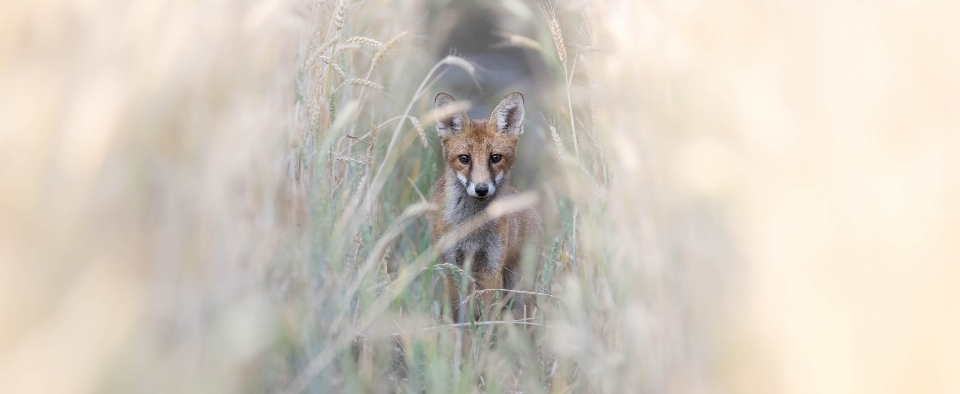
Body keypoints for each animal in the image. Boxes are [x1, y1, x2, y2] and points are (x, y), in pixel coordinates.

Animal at [432, 91, 544, 324]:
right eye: (464, 158)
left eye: (495, 158)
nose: (481, 189)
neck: (472, 229)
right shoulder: (452, 264)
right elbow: (460, 316)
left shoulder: (491, 265)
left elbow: (489, 317)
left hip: (518, 289)